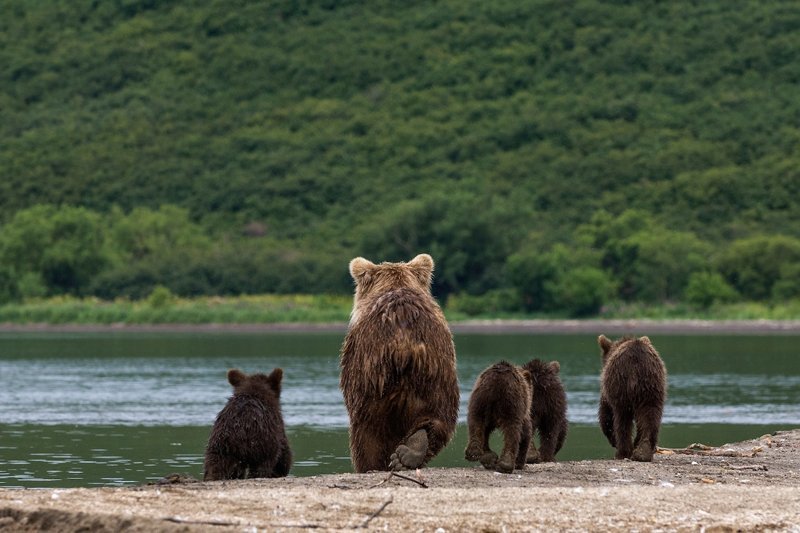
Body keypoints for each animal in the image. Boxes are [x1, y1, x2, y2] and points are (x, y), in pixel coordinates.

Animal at [340, 256, 460, 472]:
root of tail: (404, 345)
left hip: (368, 380)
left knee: (367, 433)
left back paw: (374, 464)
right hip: (437, 374)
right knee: (438, 417)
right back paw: (412, 450)